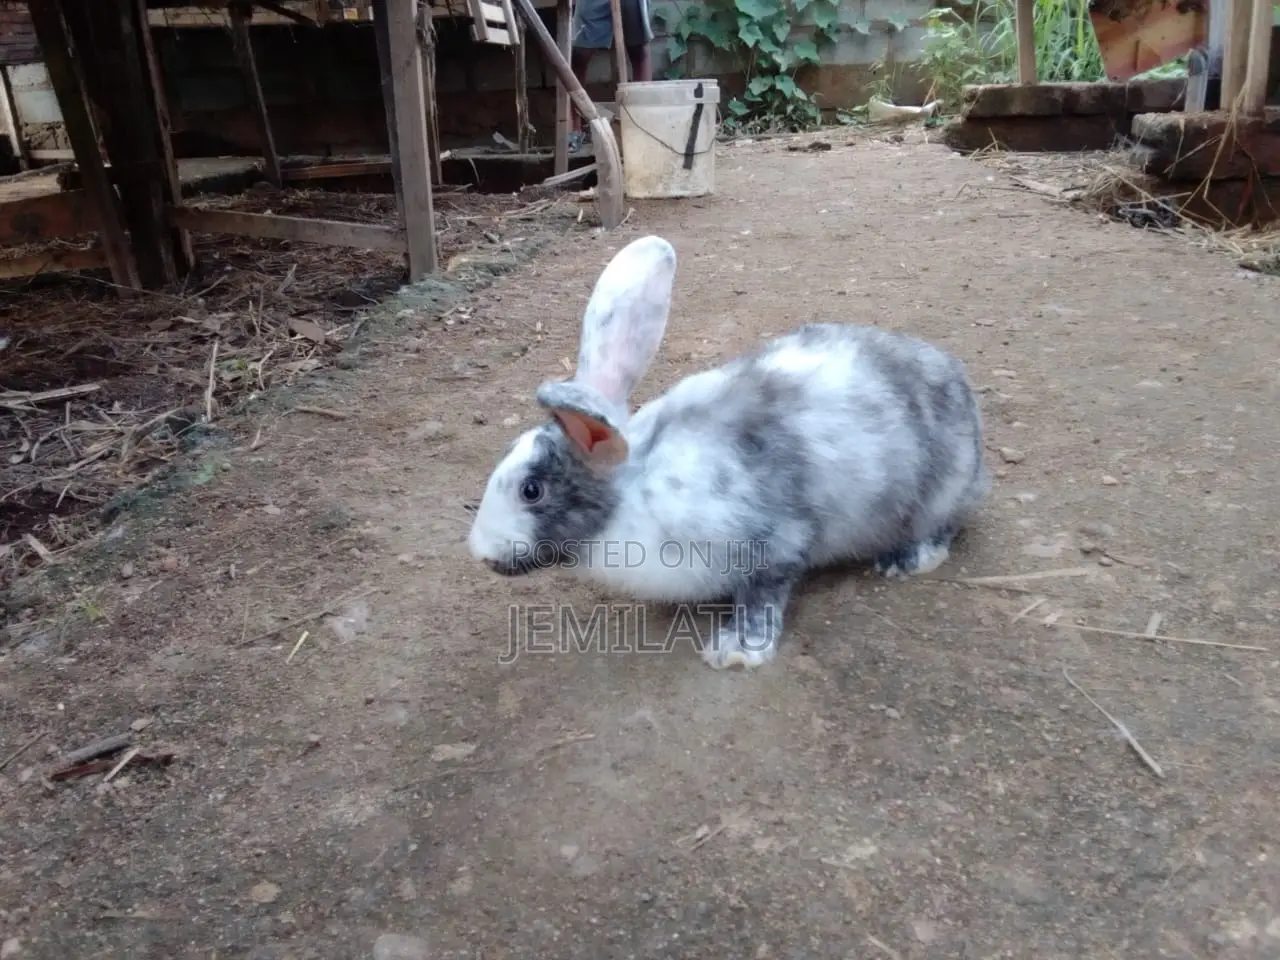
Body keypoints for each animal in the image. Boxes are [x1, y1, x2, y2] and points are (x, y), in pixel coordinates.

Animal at [467, 234, 990, 670]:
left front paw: (736, 652)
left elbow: (763, 595)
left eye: (531, 490)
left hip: (943, 488)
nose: (480, 552)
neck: (636, 486)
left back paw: (907, 560)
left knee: (945, 525)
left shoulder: (776, 541)